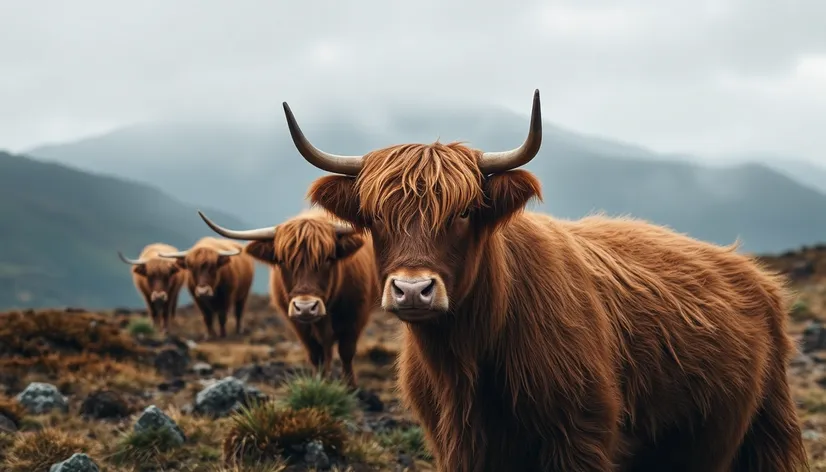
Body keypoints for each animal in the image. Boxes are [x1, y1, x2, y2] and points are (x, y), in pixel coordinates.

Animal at [196, 208, 380, 390]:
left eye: (328, 258)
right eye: (282, 261)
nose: (305, 307)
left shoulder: (355, 317)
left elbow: (346, 352)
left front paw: (350, 387)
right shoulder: (300, 326)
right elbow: (316, 355)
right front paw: (320, 383)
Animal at [280, 89, 808, 472]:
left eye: (465, 211)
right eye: (374, 217)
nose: (413, 289)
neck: (466, 357)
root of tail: (753, 273)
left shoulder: (580, 436)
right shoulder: (455, 446)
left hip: (762, 432)